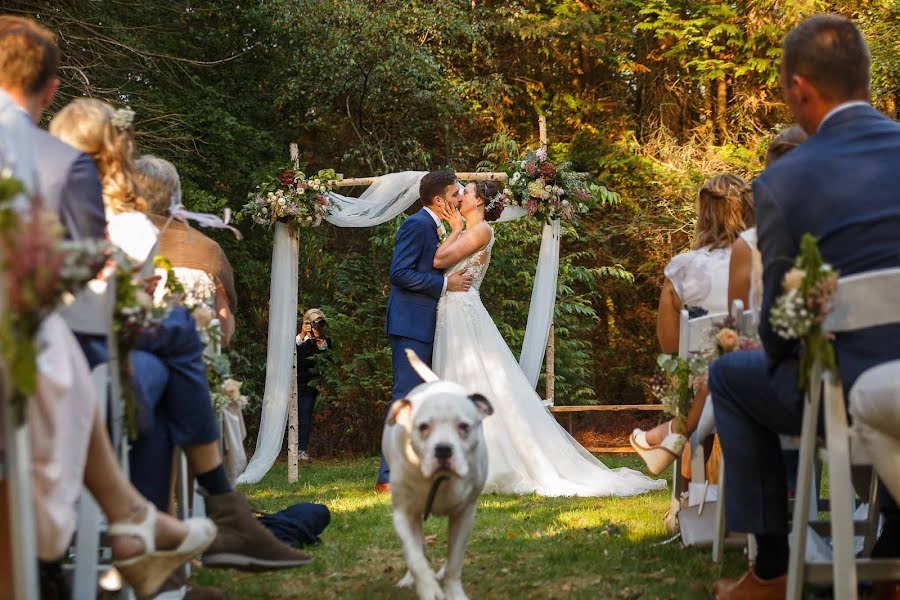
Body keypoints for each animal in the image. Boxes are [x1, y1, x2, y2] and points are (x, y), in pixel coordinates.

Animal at [380, 350, 492, 596]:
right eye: (423, 427)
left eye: (464, 426)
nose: (443, 449)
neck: (438, 480)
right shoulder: (404, 515)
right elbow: (415, 558)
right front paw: (428, 588)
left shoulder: (464, 515)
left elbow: (454, 562)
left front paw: (454, 593)